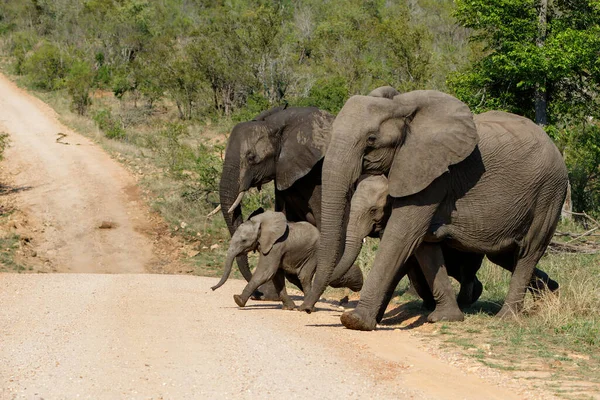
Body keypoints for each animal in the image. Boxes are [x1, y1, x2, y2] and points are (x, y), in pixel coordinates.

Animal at [211, 209, 360, 310]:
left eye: (243, 240)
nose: (212, 288)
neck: (260, 222)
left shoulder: (276, 246)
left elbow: (266, 272)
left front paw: (238, 300)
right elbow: (276, 275)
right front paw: (288, 307)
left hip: (314, 252)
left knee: (304, 276)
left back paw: (308, 308)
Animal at [219, 106, 360, 300]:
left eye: (251, 157)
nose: (258, 294)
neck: (277, 122)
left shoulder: (320, 175)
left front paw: (352, 277)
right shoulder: (284, 173)